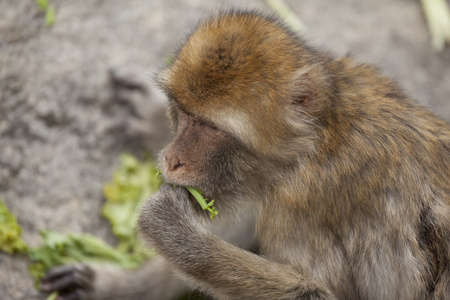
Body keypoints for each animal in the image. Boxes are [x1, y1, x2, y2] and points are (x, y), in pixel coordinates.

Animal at [43, 9, 450, 300]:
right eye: (184, 113)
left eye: (212, 128)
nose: (172, 158)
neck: (314, 142)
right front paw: (116, 286)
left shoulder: (305, 204)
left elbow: (317, 293)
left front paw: (175, 233)